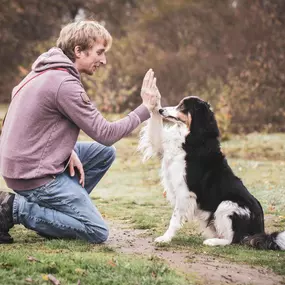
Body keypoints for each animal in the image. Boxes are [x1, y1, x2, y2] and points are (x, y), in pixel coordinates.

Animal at [137, 95, 282, 248]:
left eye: (182, 106)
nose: (160, 110)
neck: (193, 138)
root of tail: (260, 229)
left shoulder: (185, 192)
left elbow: (175, 218)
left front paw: (165, 238)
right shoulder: (161, 145)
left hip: (227, 205)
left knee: (233, 239)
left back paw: (212, 241)